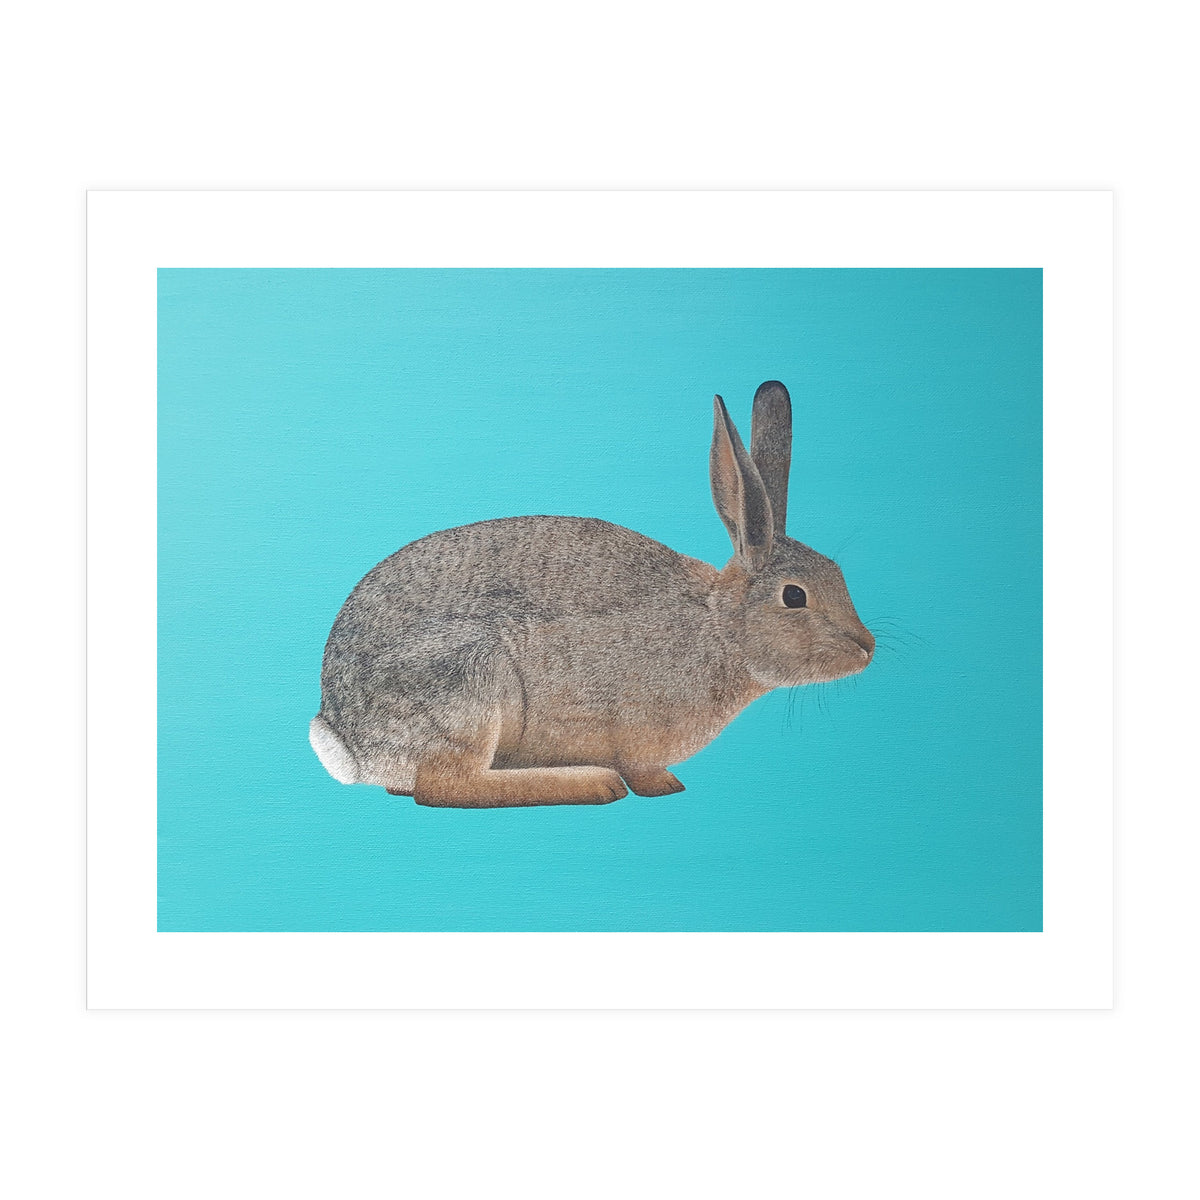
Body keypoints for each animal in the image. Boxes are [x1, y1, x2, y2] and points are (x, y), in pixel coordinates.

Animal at [310, 381, 874, 807]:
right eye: (795, 597)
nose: (866, 648)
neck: (720, 628)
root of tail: (348, 739)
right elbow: (642, 769)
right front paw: (662, 786)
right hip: (469, 680)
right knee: (445, 786)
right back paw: (592, 783)